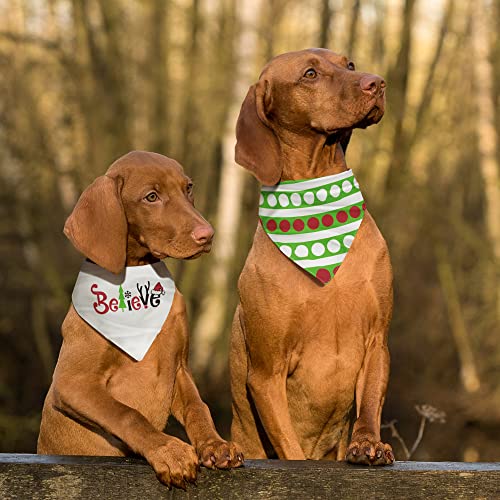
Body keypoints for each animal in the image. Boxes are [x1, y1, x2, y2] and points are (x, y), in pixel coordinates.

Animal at [37, 151, 244, 488]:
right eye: (151, 197)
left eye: (188, 188)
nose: (207, 235)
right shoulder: (71, 383)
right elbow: (127, 414)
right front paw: (169, 451)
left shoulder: (180, 368)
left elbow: (198, 407)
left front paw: (215, 444)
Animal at [229, 49, 394, 464]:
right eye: (309, 74)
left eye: (349, 65)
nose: (377, 82)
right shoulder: (267, 373)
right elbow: (290, 448)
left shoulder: (376, 340)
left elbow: (370, 404)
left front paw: (368, 443)